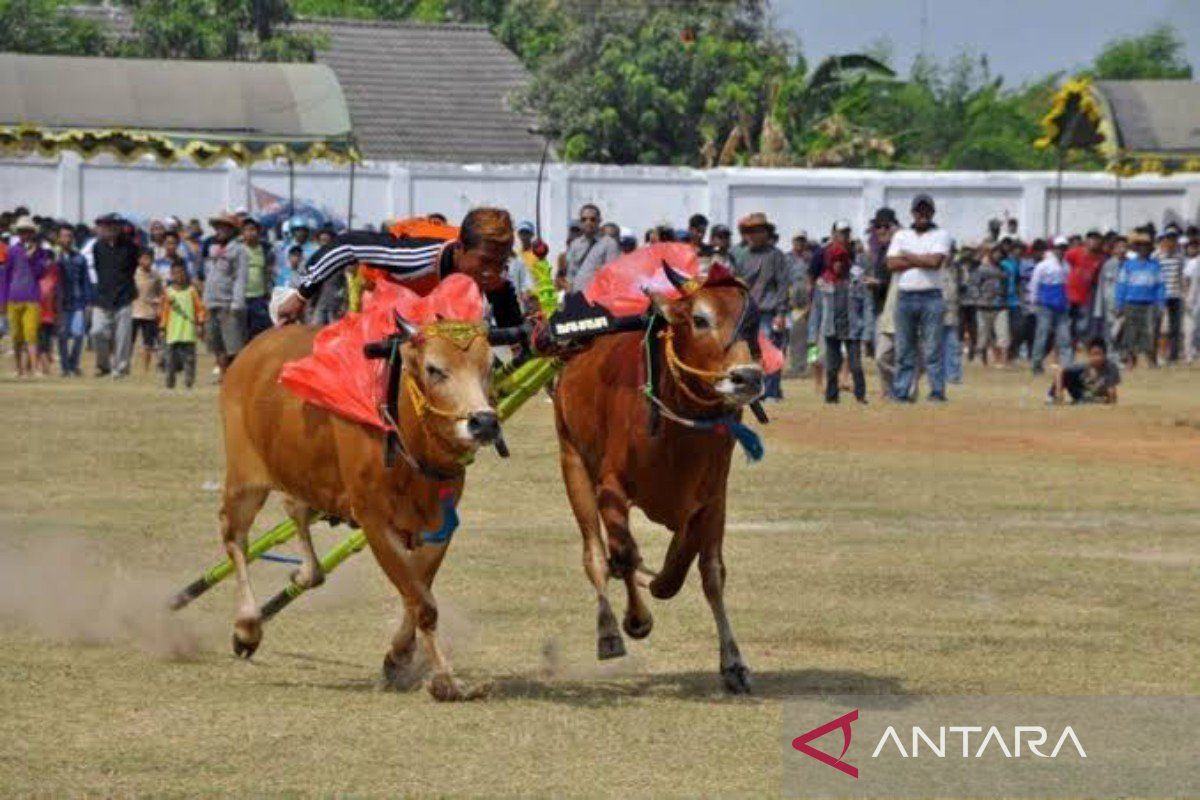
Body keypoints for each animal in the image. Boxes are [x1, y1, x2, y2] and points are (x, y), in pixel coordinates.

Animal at [219, 319, 496, 700]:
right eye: (434, 369)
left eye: (490, 365)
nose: (484, 423)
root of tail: (252, 350)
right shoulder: (374, 521)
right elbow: (422, 602)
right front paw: (445, 680)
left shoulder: (439, 525)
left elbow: (417, 591)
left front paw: (398, 656)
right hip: (245, 481)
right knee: (235, 538)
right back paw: (247, 626)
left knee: (296, 511)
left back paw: (305, 574)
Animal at [549, 271, 758, 695]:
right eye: (699, 319)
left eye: (754, 320)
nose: (747, 377)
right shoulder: (610, 488)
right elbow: (626, 554)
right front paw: (635, 619)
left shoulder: (714, 499)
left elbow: (708, 572)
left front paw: (733, 663)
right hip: (572, 462)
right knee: (595, 555)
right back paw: (609, 630)